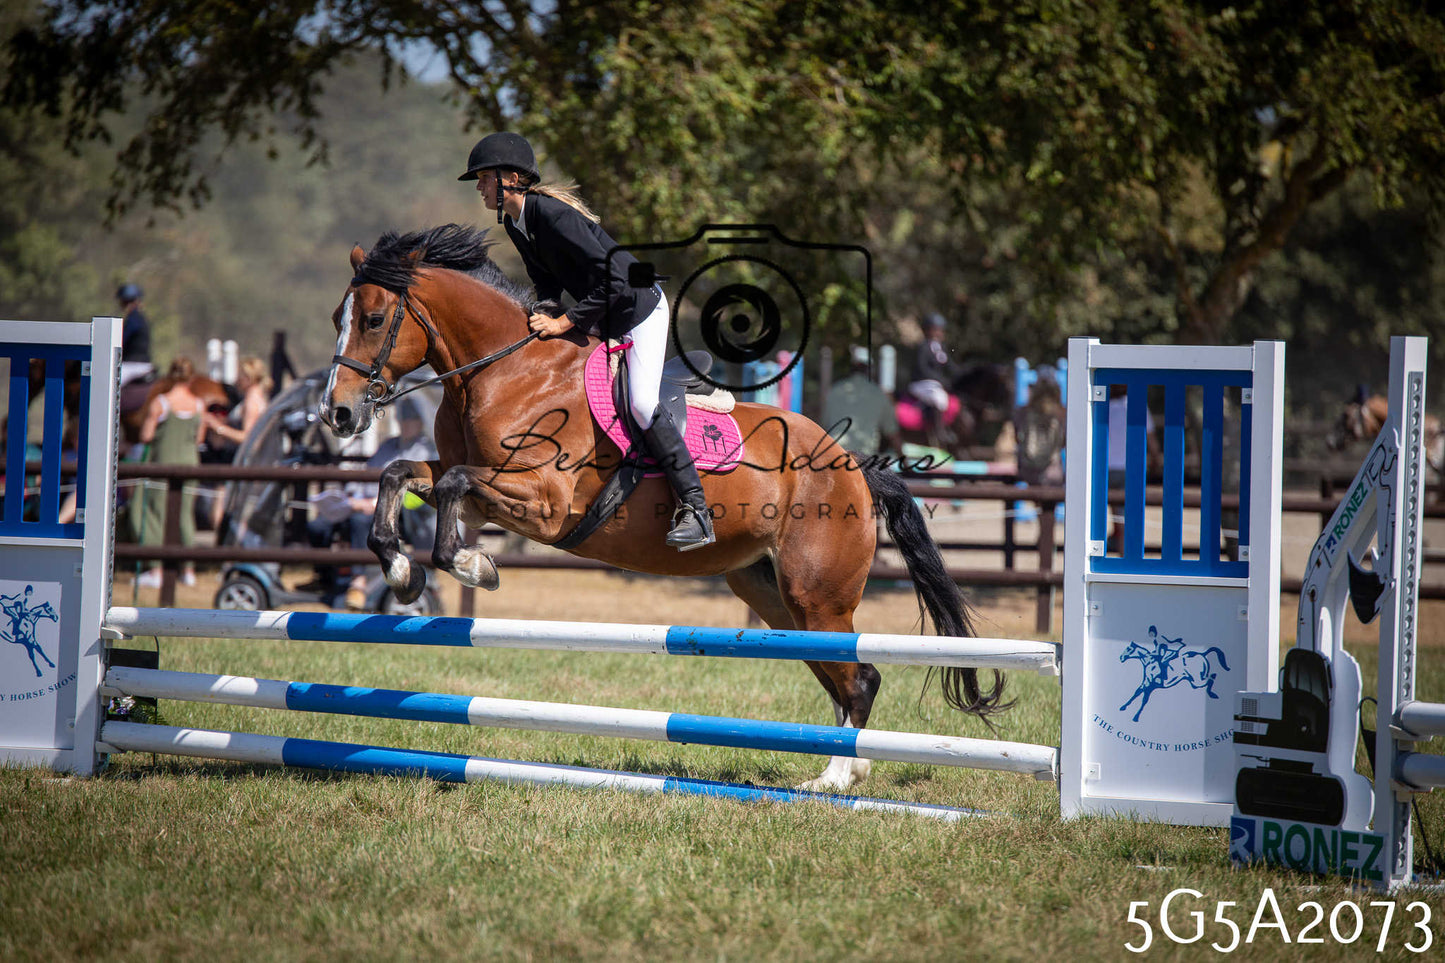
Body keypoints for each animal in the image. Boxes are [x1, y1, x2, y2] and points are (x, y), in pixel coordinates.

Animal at [318, 223, 1009, 792]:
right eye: (337, 317)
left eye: (374, 319)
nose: (338, 414)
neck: (506, 371)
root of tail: (853, 466)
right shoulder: (478, 490)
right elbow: (404, 475)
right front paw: (401, 571)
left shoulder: (543, 502)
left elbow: (455, 488)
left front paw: (471, 567)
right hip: (776, 596)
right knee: (839, 675)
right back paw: (838, 765)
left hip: (818, 595)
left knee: (860, 678)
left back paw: (839, 778)